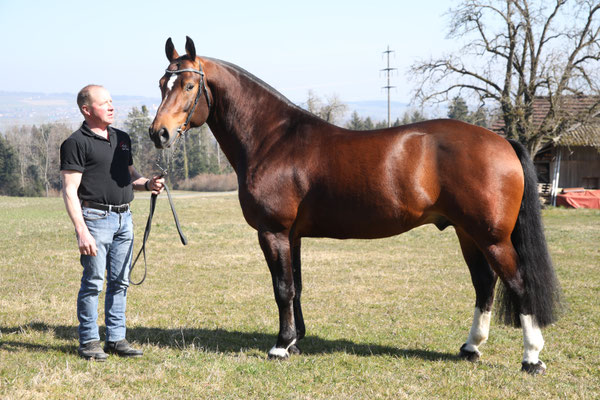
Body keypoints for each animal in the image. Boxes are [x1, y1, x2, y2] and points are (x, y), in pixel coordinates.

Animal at [148, 36, 560, 374]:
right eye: (161, 84)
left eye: (188, 85)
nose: (159, 133)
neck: (272, 140)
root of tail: (501, 141)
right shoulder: (293, 236)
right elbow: (297, 286)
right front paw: (295, 341)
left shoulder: (273, 232)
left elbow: (282, 288)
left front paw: (280, 347)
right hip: (467, 233)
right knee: (484, 284)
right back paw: (471, 347)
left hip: (491, 237)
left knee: (518, 283)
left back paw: (531, 358)